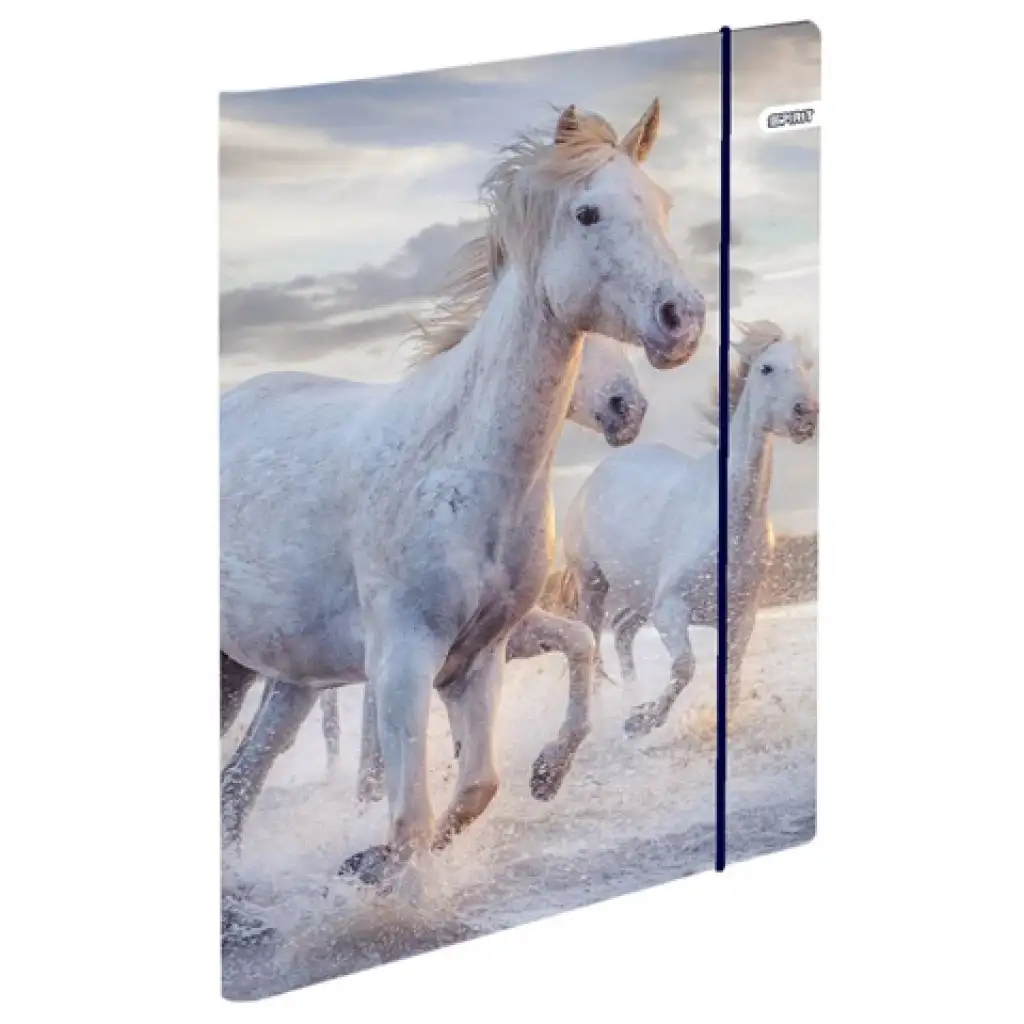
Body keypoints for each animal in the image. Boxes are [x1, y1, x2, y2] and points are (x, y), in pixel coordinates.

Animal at [220, 99, 706, 902]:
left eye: (662, 204)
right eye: (588, 212)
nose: (683, 320)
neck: (460, 463)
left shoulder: (477, 658)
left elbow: (478, 785)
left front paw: (539, 778)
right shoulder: (402, 661)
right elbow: (412, 817)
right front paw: (384, 878)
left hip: (286, 680)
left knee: (237, 787)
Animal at [556, 319, 817, 738]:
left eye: (807, 365)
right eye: (766, 368)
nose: (806, 414)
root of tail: (600, 472)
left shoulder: (741, 618)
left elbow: (732, 678)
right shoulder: (670, 609)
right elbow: (684, 667)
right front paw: (645, 722)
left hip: (639, 594)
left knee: (623, 631)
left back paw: (633, 701)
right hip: (593, 583)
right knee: (594, 643)